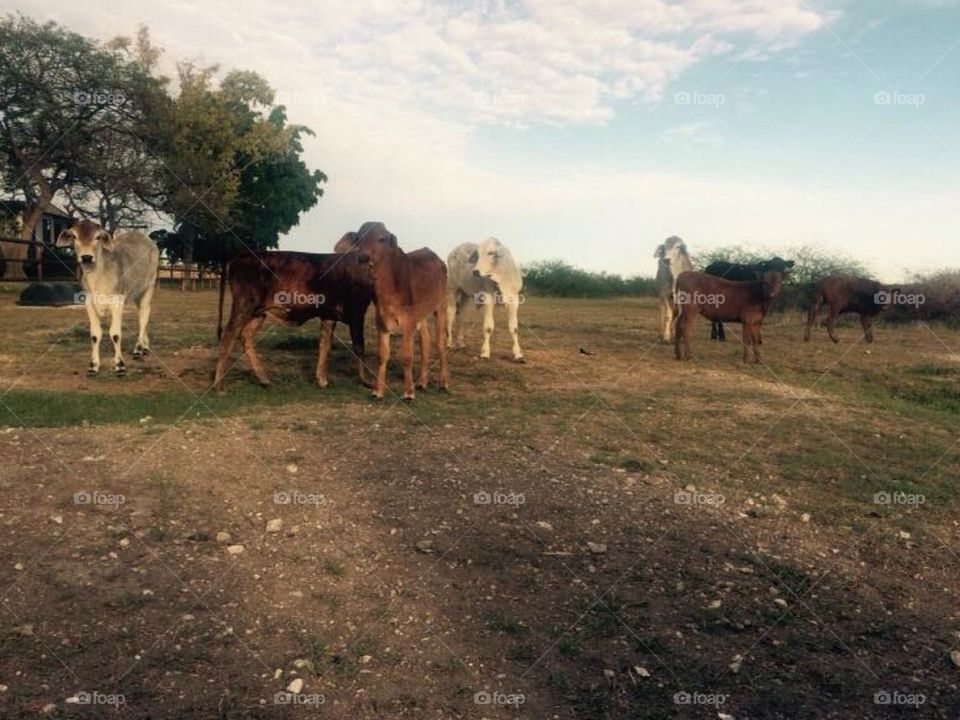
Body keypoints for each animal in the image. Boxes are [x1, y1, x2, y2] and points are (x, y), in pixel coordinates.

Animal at [55, 219, 159, 376]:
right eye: (74, 236)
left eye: (97, 237)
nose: (86, 257)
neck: (97, 279)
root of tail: (144, 237)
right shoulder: (89, 303)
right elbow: (95, 335)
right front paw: (93, 366)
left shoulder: (117, 301)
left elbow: (115, 334)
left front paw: (120, 365)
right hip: (136, 293)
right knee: (141, 314)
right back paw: (145, 347)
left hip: (149, 286)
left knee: (144, 317)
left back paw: (138, 349)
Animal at [213, 250, 373, 392]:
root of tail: (240, 257)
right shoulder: (357, 311)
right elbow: (359, 345)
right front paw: (367, 381)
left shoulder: (328, 315)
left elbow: (325, 344)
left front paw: (322, 380)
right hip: (244, 305)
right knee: (228, 336)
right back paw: (219, 386)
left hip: (258, 312)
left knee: (245, 336)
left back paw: (264, 379)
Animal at [355, 232, 449, 401]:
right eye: (359, 238)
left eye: (382, 238)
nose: (363, 258)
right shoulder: (381, 320)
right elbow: (382, 354)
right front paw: (377, 391)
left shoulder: (409, 321)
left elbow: (406, 356)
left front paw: (409, 393)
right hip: (422, 315)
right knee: (425, 340)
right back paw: (422, 382)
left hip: (441, 307)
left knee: (441, 341)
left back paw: (443, 383)